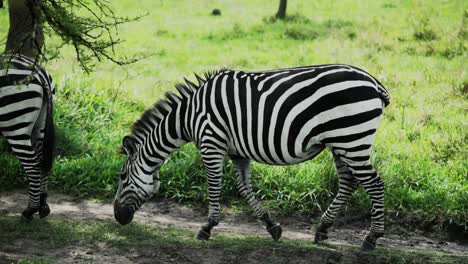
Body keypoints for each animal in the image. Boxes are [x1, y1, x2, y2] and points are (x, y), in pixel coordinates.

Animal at [0, 54, 55, 223]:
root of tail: (39, 72)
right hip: (40, 124)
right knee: (42, 161)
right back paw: (43, 206)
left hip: (15, 125)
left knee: (33, 165)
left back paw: (30, 210)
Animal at [114, 63, 392, 250]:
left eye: (123, 175)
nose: (118, 217)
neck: (189, 116)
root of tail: (374, 82)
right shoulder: (237, 152)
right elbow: (244, 188)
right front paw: (272, 227)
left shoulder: (211, 143)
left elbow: (214, 187)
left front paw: (206, 228)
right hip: (342, 142)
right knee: (349, 182)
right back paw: (322, 230)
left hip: (351, 138)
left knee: (374, 183)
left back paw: (371, 238)